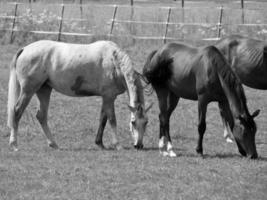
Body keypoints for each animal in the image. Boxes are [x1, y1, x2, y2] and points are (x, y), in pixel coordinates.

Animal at [6, 39, 153, 151]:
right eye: (133, 122)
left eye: (146, 122)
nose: (139, 145)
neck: (114, 61)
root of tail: (25, 49)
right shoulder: (109, 97)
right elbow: (112, 119)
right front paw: (117, 145)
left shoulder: (106, 98)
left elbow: (103, 119)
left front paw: (99, 143)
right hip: (28, 91)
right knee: (17, 111)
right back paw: (14, 144)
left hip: (44, 90)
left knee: (41, 116)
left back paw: (53, 144)